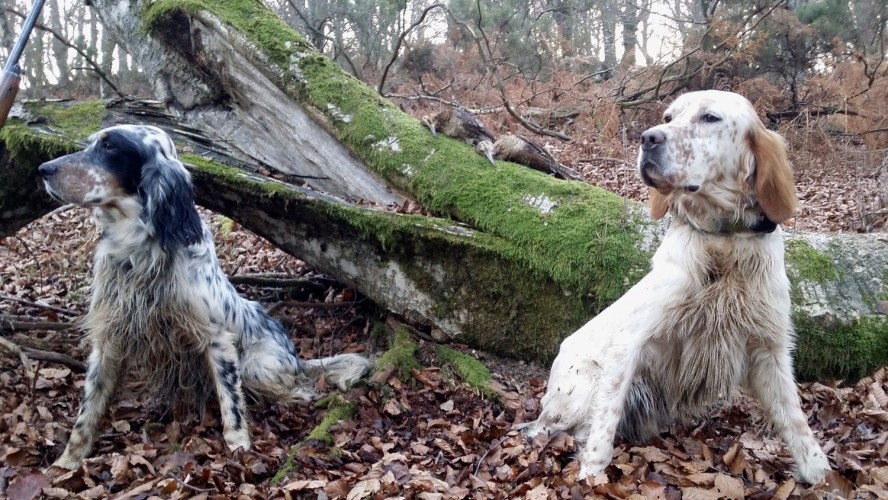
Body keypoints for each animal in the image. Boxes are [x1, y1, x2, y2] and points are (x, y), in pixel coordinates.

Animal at [37, 124, 372, 468]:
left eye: (110, 148)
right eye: (91, 143)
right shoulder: (108, 338)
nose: (43, 170)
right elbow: (87, 409)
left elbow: (232, 404)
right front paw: (68, 461)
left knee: (297, 388)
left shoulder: (217, 340)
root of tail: (296, 357)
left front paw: (239, 448)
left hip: (256, 365)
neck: (138, 248)